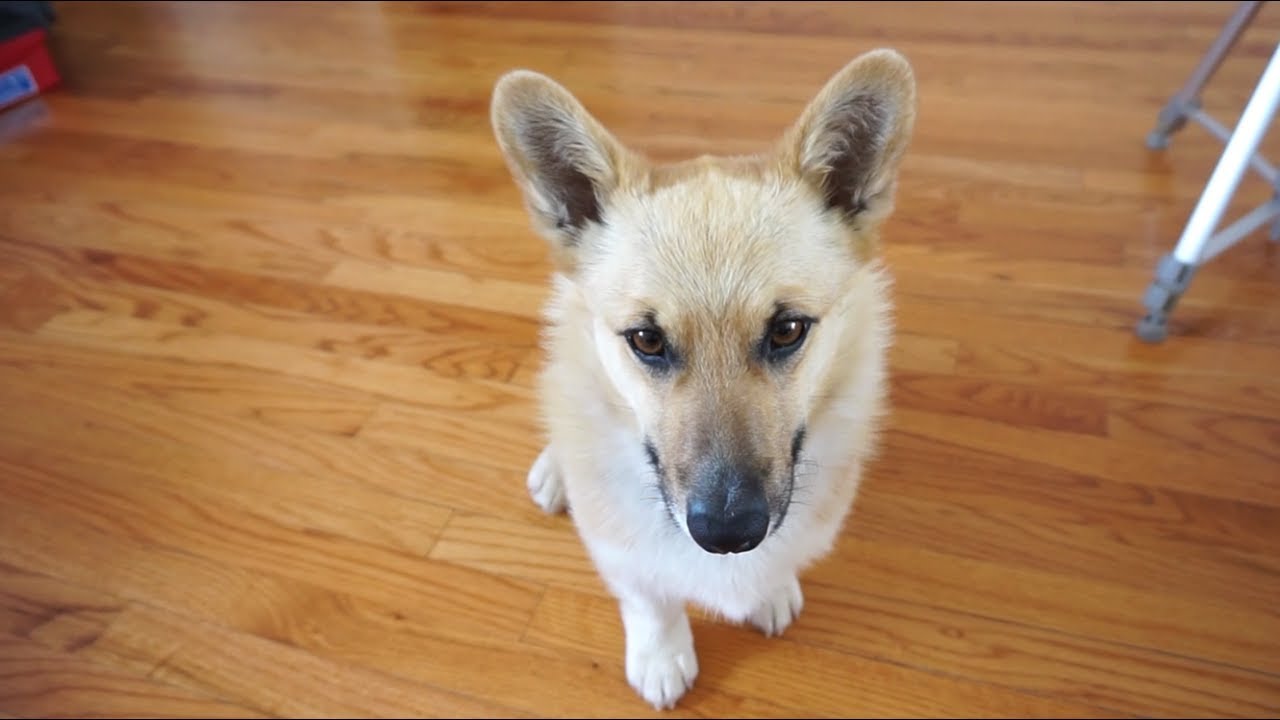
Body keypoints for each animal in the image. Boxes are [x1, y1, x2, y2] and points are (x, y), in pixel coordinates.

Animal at [491, 49, 921, 707]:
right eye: (646, 340)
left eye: (788, 330)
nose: (727, 533)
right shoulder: (625, 559)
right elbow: (651, 602)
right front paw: (662, 657)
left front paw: (771, 590)